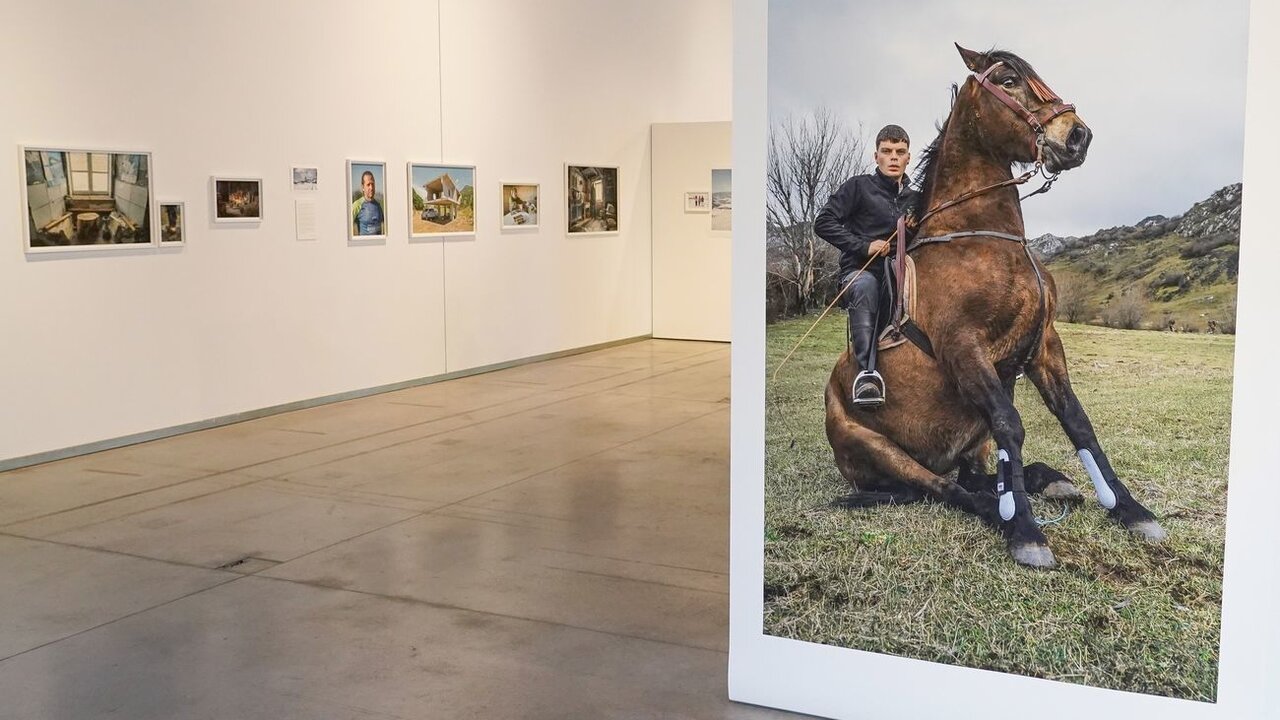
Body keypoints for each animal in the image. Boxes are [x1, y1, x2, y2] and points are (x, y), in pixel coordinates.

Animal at [824, 44, 1167, 568]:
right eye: (1007, 80)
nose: (1077, 135)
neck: (983, 238)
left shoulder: (1045, 344)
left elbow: (1078, 424)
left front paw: (1129, 509)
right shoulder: (965, 347)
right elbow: (1012, 425)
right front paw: (1025, 531)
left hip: (971, 440)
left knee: (971, 476)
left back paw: (1048, 480)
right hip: (877, 448)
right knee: (947, 490)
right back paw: (1001, 509)